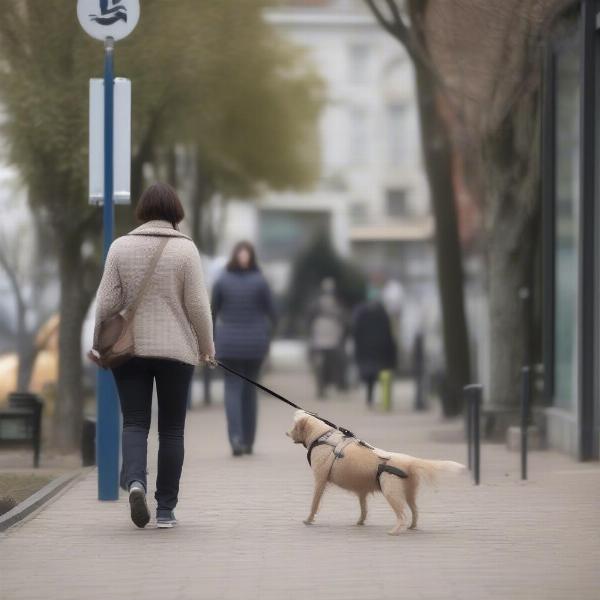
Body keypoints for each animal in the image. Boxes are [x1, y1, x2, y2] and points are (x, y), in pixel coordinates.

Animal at [288, 408, 466, 536]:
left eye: (294, 426)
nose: (287, 433)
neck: (322, 436)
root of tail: (409, 461)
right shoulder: (361, 490)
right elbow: (364, 508)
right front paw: (360, 522)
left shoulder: (320, 479)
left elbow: (314, 503)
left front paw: (308, 520)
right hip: (409, 492)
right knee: (415, 511)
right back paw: (411, 527)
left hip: (391, 492)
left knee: (402, 515)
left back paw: (395, 531)